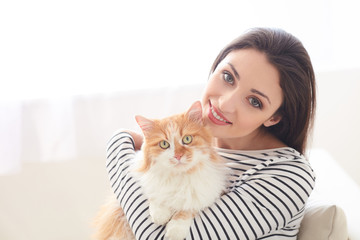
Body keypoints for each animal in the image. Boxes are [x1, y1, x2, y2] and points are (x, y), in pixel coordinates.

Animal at [93, 101, 228, 240]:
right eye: (164, 144)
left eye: (187, 139)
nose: (178, 156)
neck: (178, 177)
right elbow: (157, 194)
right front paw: (160, 215)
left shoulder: (206, 195)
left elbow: (188, 210)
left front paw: (175, 229)